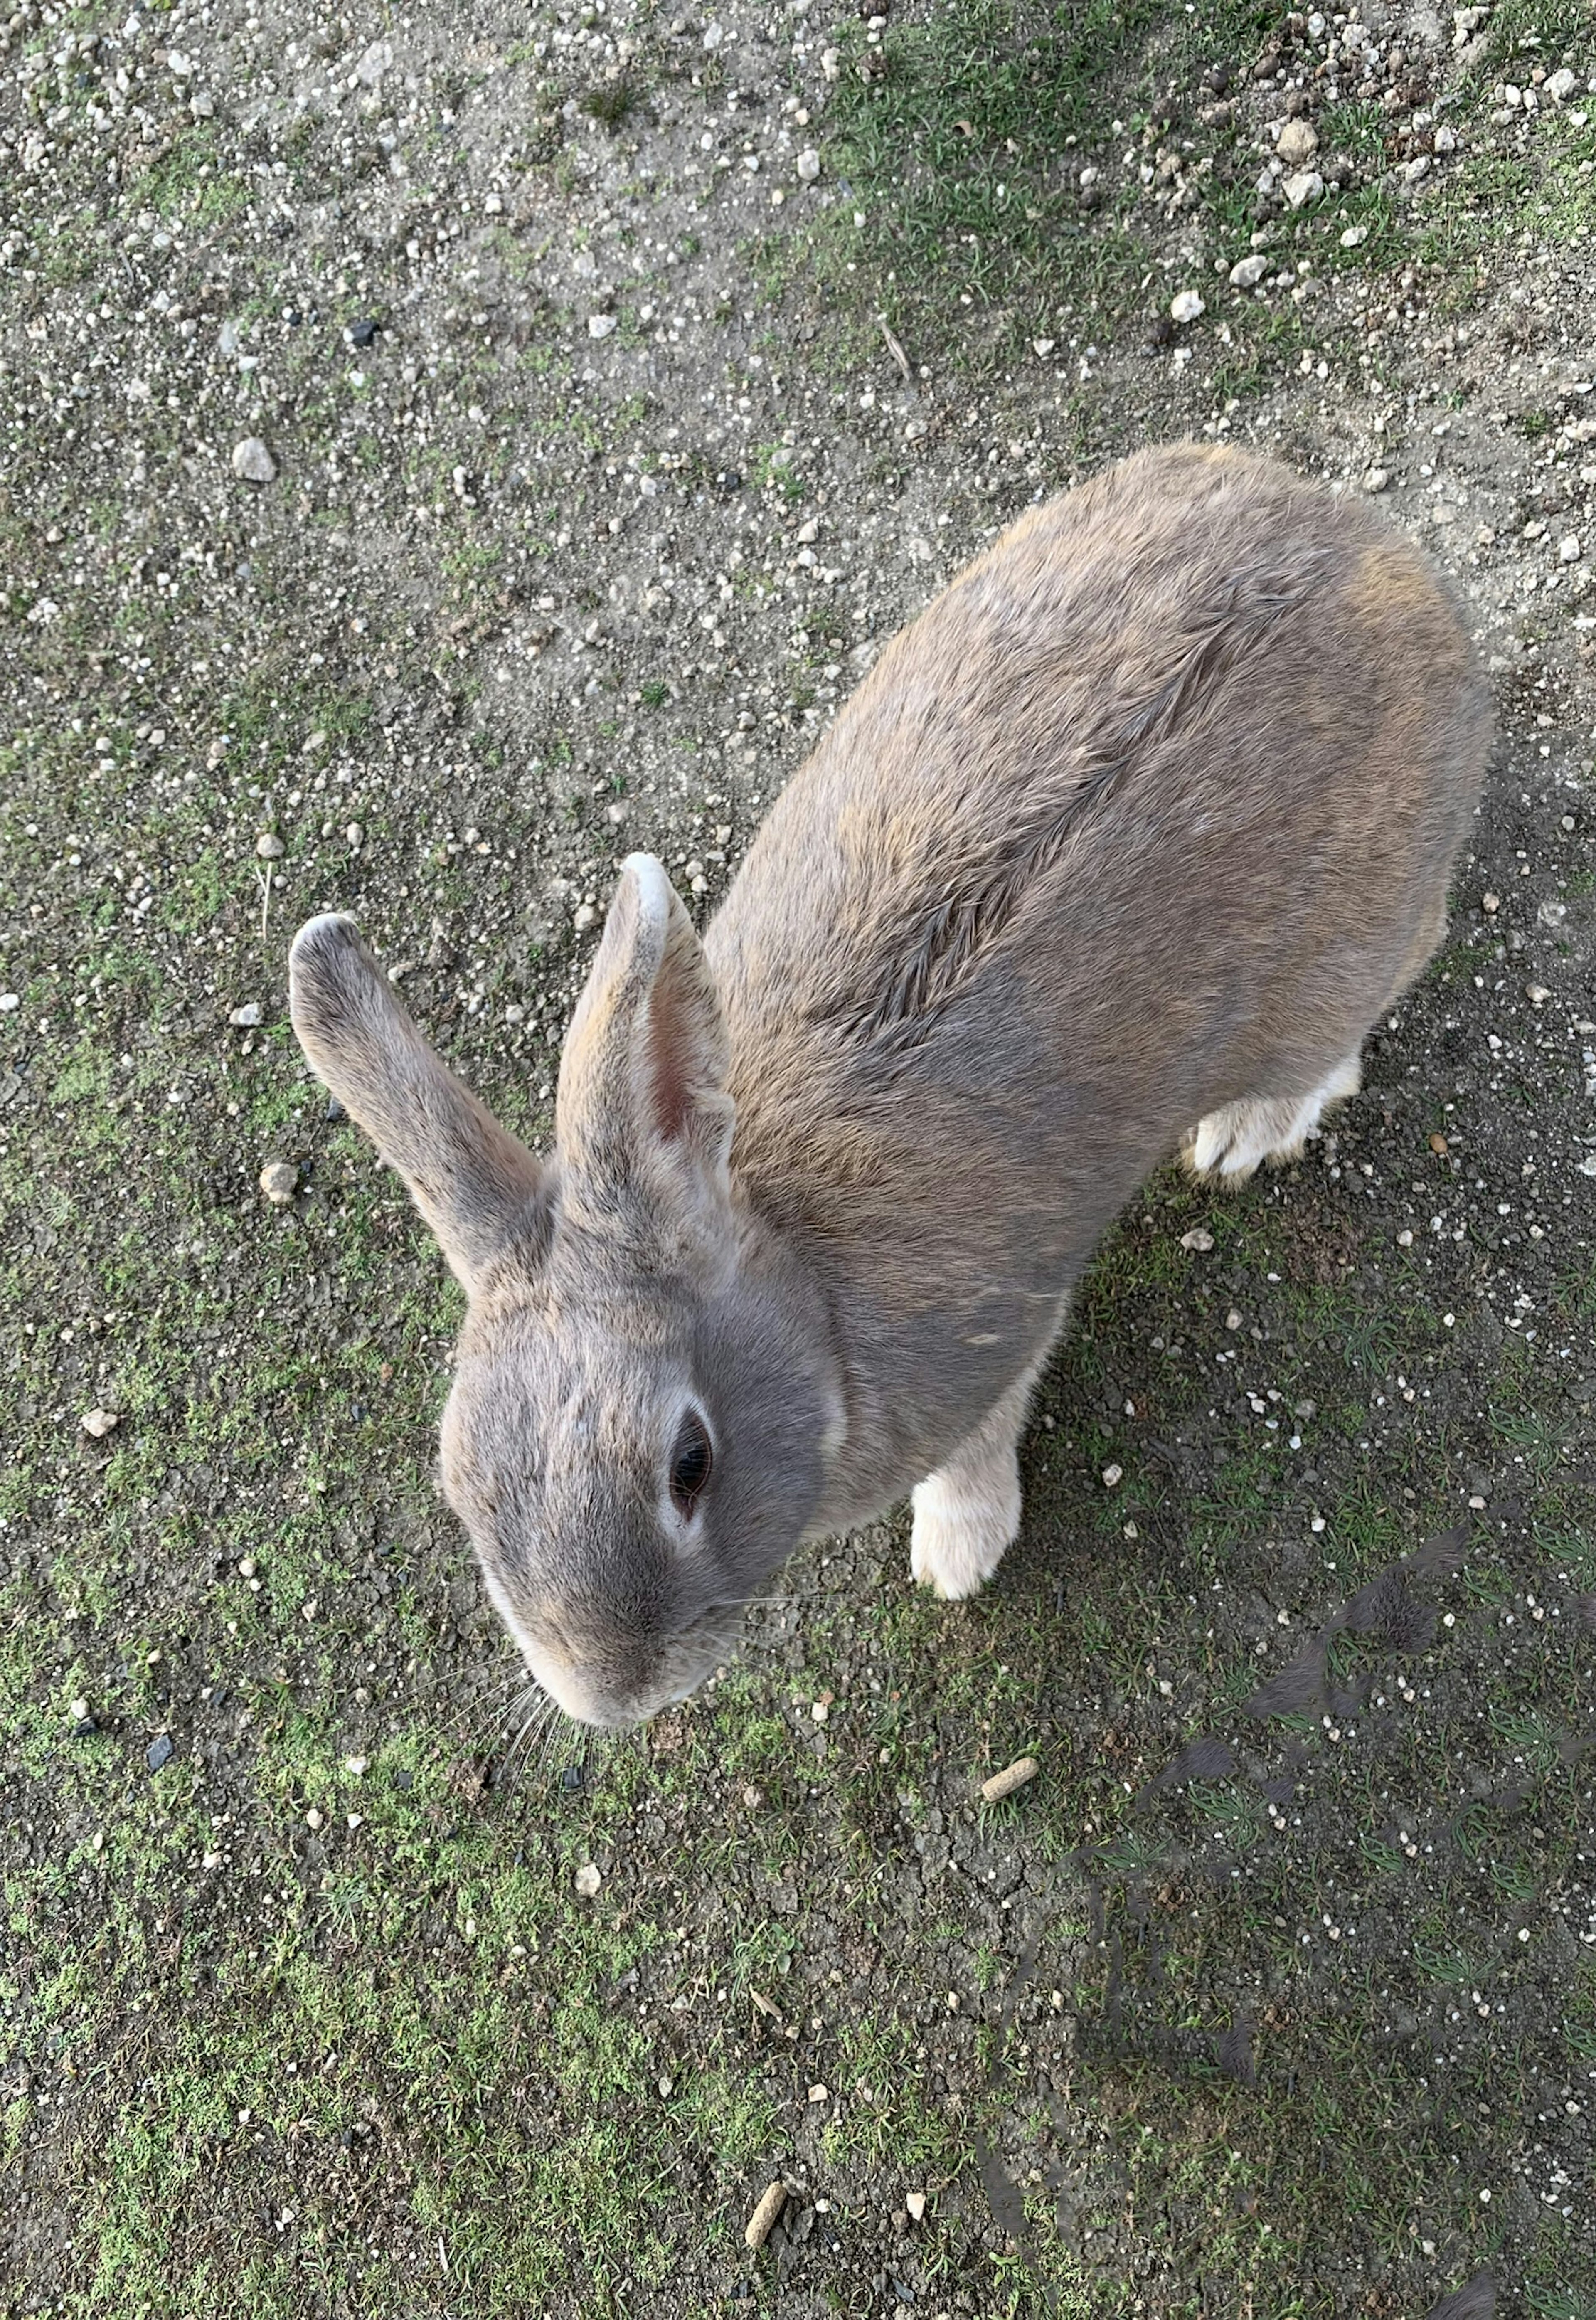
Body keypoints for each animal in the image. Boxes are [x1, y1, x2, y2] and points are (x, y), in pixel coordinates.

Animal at [290, 448, 1494, 1726]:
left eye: (688, 1462)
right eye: (461, 1489)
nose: (606, 1695)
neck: (801, 1282)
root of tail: (1389, 558)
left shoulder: (996, 1339)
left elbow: (976, 1451)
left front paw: (957, 1558)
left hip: (1343, 957)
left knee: (1352, 1026)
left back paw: (1240, 1136)